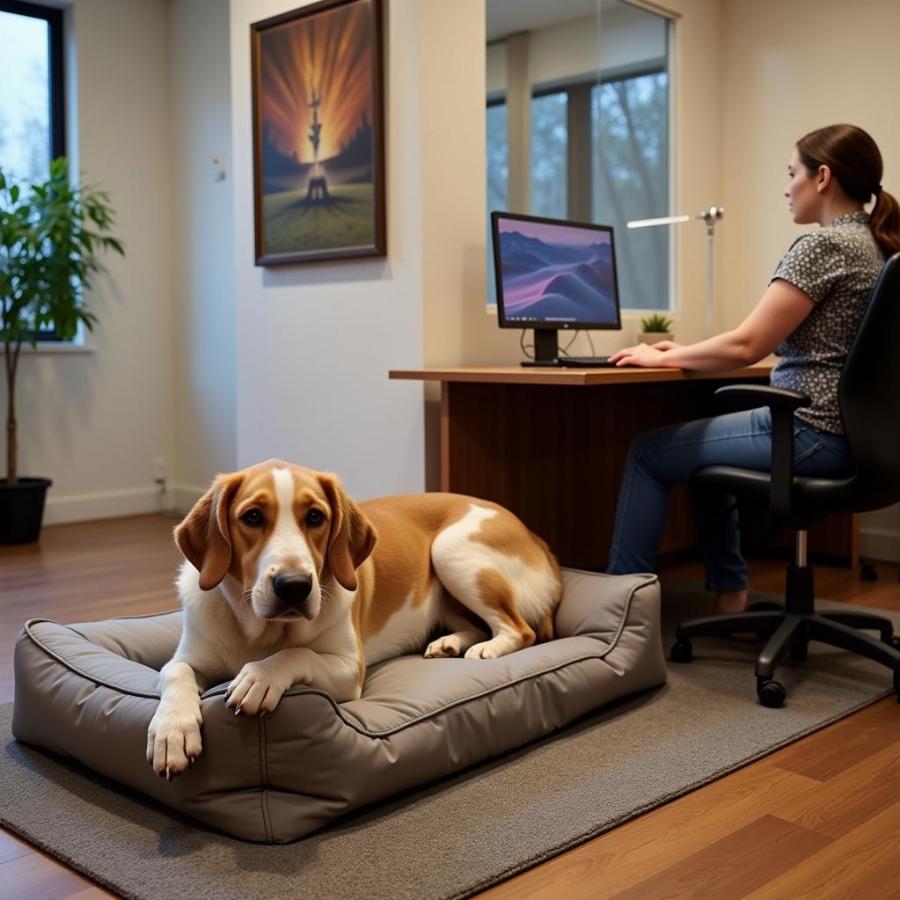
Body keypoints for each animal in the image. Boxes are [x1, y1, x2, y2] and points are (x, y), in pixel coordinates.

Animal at [146, 460, 564, 776]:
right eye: (251, 516)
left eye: (316, 517)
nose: (294, 586)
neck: (261, 632)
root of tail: (535, 536)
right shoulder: (188, 657)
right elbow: (174, 673)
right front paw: (172, 731)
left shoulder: (350, 670)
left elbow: (297, 653)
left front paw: (260, 677)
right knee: (474, 625)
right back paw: (448, 644)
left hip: (451, 549)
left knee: (519, 629)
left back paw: (487, 649)